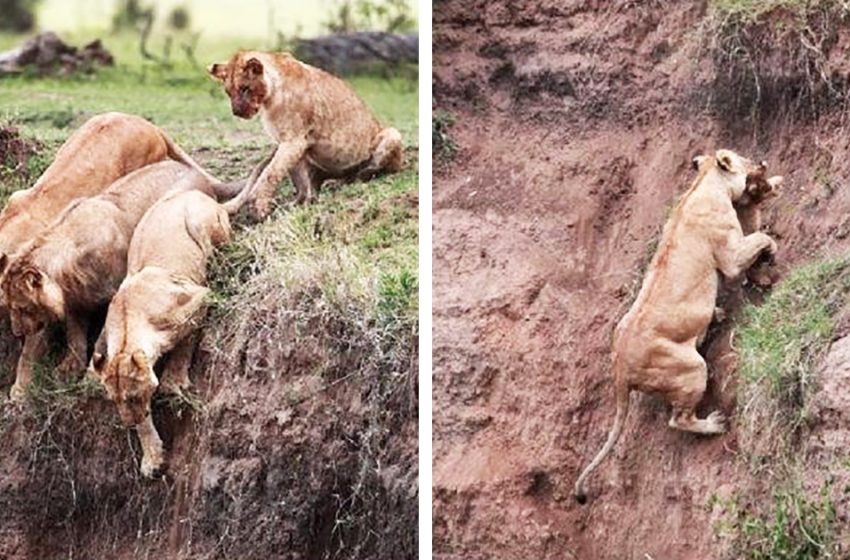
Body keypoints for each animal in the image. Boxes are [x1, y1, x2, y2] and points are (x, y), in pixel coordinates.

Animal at [90, 189, 229, 476]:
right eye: (114, 400)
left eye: (132, 397)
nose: (127, 423)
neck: (128, 326)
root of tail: (198, 193)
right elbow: (145, 421)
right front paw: (152, 457)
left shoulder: (200, 296)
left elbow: (185, 341)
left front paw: (173, 382)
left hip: (200, 223)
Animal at [207, 50, 402, 217]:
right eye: (228, 92)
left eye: (245, 88)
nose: (237, 112)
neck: (269, 99)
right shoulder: (293, 144)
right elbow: (294, 179)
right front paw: (298, 204)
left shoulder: (294, 140)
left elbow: (270, 172)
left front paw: (258, 206)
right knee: (316, 183)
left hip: (392, 134)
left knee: (380, 169)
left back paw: (359, 174)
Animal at [568, 150, 780, 504]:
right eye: (746, 160)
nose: (761, 165)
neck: (703, 184)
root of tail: (620, 369)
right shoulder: (730, 253)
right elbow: (758, 240)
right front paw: (771, 252)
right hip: (690, 368)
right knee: (677, 419)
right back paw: (714, 424)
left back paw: (717, 315)